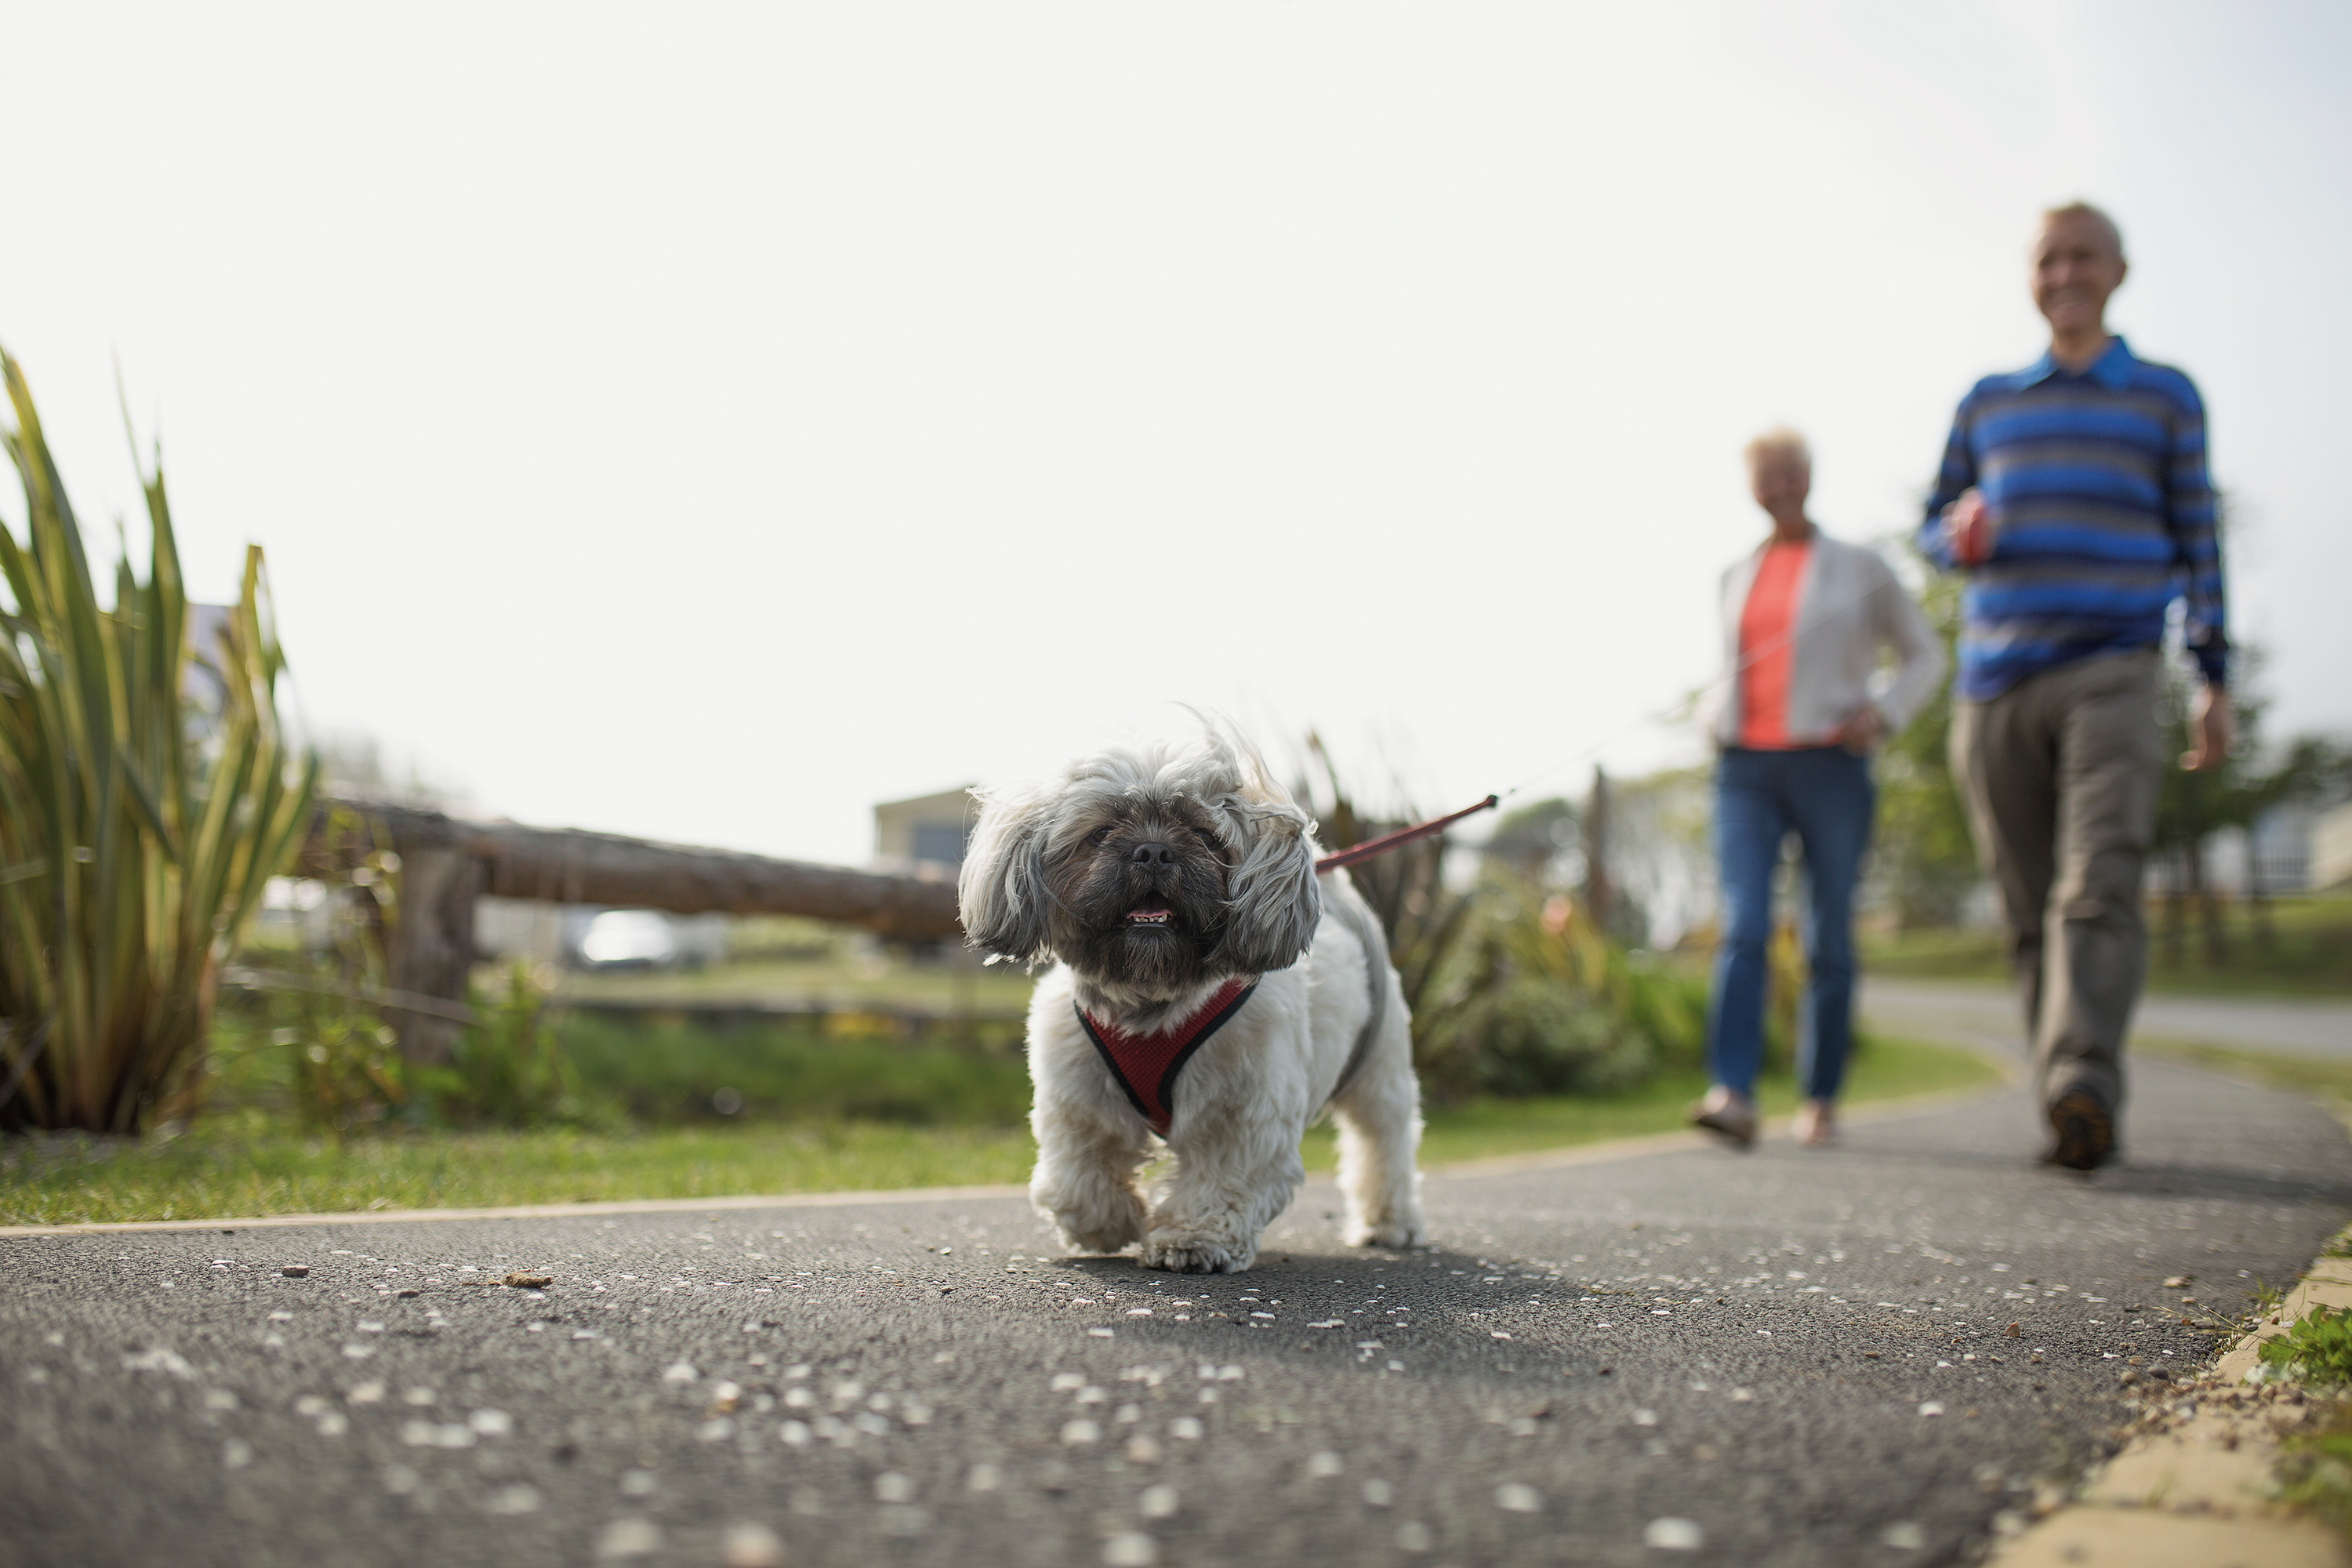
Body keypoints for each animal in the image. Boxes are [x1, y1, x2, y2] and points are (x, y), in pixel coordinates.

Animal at [950, 728, 1421, 1279]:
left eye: (1204, 834)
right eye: (1101, 833)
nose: (1154, 851)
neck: (1152, 1003)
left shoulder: (1241, 1111)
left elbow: (1221, 1181)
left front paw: (1192, 1241)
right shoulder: (1079, 1098)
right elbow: (1079, 1174)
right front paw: (1106, 1225)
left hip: (1379, 1071)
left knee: (1383, 1141)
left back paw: (1388, 1224)